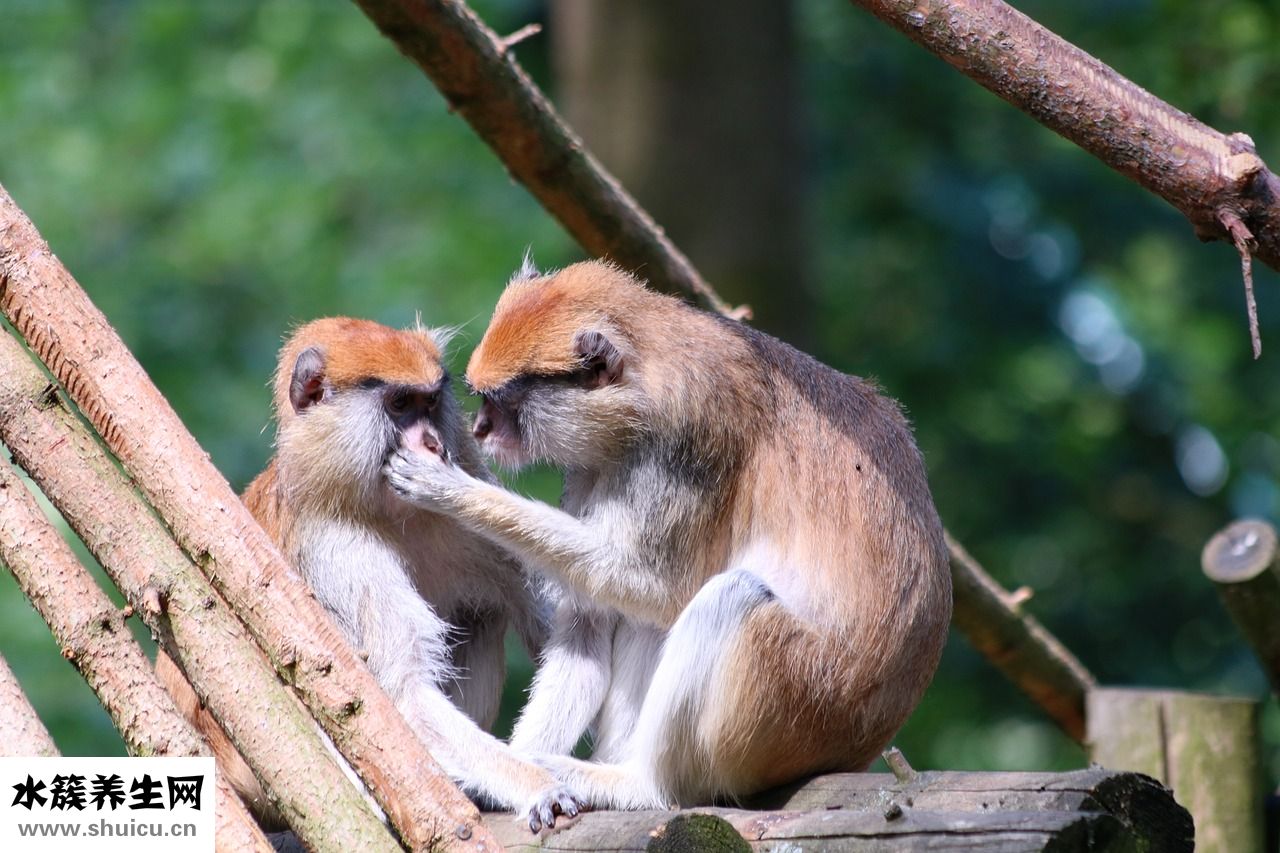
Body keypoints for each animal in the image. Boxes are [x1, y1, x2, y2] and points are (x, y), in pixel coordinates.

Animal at [156, 317, 580, 831]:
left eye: (429, 403)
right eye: (398, 405)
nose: (434, 444)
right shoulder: (340, 550)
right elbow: (399, 701)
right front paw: (538, 785)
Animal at [383, 259, 952, 810]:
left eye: (501, 404)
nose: (480, 430)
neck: (648, 373)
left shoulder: (689, 442)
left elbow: (658, 588)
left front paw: (449, 488)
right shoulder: (593, 464)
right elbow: (590, 619)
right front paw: (517, 775)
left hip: (802, 705)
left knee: (729, 597)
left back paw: (640, 785)